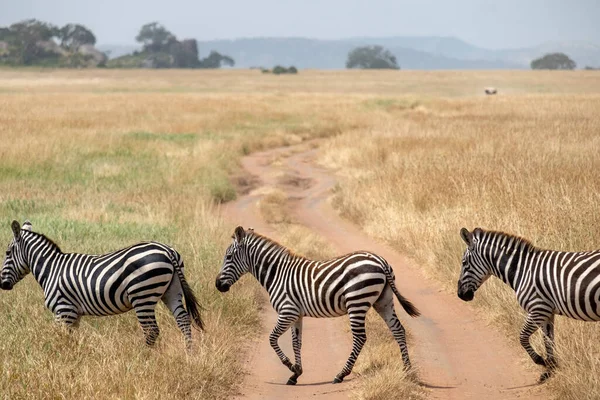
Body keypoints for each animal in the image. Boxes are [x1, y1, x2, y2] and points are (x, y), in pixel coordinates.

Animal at [0, 220, 204, 348]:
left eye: (7, 253)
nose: (2, 284)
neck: (52, 269)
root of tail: (167, 250)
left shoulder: (64, 310)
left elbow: (60, 338)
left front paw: (58, 359)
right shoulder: (74, 313)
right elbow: (71, 339)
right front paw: (73, 358)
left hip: (142, 295)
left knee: (151, 330)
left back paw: (142, 358)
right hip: (172, 290)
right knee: (183, 320)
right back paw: (189, 353)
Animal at [217, 225, 422, 384]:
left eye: (228, 257)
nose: (218, 285)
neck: (277, 274)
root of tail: (380, 260)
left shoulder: (287, 311)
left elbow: (272, 338)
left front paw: (290, 366)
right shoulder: (296, 314)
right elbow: (296, 342)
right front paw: (296, 373)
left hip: (357, 301)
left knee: (360, 338)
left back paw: (341, 374)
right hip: (383, 301)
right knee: (398, 330)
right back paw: (407, 370)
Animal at [458, 228, 600, 382]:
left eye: (464, 263)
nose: (460, 294)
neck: (523, 270)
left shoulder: (538, 308)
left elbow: (522, 336)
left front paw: (540, 361)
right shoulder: (548, 312)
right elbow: (548, 340)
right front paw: (550, 369)